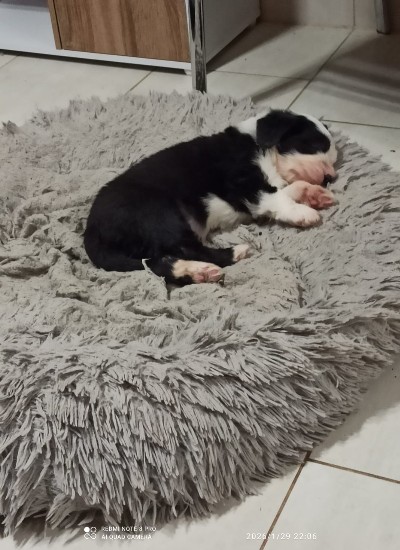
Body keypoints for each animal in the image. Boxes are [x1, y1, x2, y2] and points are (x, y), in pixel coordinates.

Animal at [84, 109, 337, 285]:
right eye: (315, 145)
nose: (331, 177)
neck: (261, 146)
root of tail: (91, 230)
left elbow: (290, 188)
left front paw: (315, 194)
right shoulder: (244, 180)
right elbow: (277, 198)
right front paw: (304, 213)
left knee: (158, 263)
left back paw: (197, 273)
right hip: (158, 214)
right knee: (185, 249)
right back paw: (233, 253)